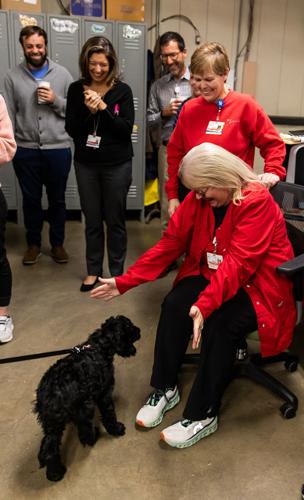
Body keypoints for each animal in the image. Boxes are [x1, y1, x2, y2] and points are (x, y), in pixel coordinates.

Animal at [33, 314, 141, 482]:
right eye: (129, 327)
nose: (139, 330)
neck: (98, 348)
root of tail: (47, 396)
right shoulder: (104, 393)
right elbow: (109, 415)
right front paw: (116, 429)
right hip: (83, 407)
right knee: (84, 431)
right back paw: (93, 437)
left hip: (52, 424)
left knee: (48, 449)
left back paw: (54, 474)